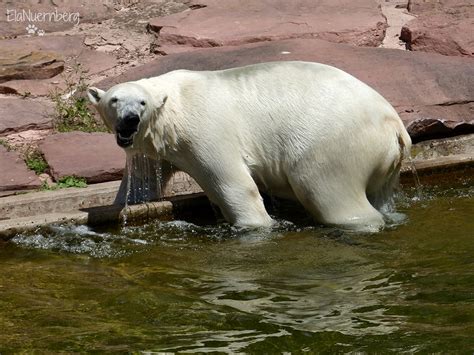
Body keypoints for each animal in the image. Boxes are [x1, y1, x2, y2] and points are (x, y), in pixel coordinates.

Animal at [88, 62, 412, 231]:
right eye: (114, 100)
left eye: (141, 102)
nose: (130, 120)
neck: (174, 110)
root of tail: (395, 124)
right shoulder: (155, 148)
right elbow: (141, 184)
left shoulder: (207, 129)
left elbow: (233, 183)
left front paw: (255, 225)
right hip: (384, 160)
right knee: (380, 194)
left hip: (334, 143)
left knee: (328, 193)